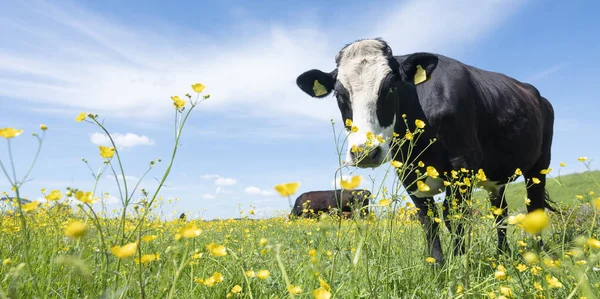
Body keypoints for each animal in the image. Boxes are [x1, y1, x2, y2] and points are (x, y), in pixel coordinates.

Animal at [292, 37, 556, 264]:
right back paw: (503, 253)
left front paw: (459, 264)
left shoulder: (463, 164)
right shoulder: (408, 173)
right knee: (500, 212)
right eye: (339, 94)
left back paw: (538, 251)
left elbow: (453, 215)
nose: (365, 152)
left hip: (539, 165)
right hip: (494, 179)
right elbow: (428, 219)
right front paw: (437, 266)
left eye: (390, 87)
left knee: (534, 206)